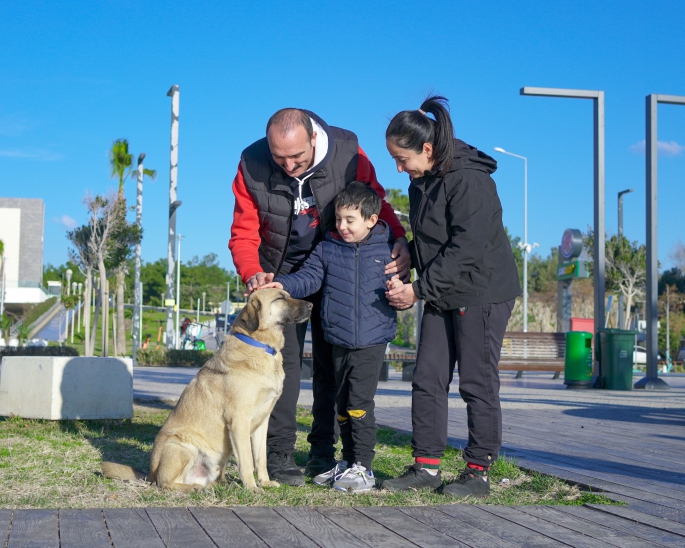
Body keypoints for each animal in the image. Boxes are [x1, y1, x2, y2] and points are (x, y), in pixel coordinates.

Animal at [101, 288, 310, 490]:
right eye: (280, 298)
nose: (311, 305)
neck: (259, 345)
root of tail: (150, 474)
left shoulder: (261, 423)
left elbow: (260, 459)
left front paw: (265, 483)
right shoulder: (239, 421)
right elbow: (247, 461)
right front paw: (252, 488)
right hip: (182, 446)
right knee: (165, 484)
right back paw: (193, 488)